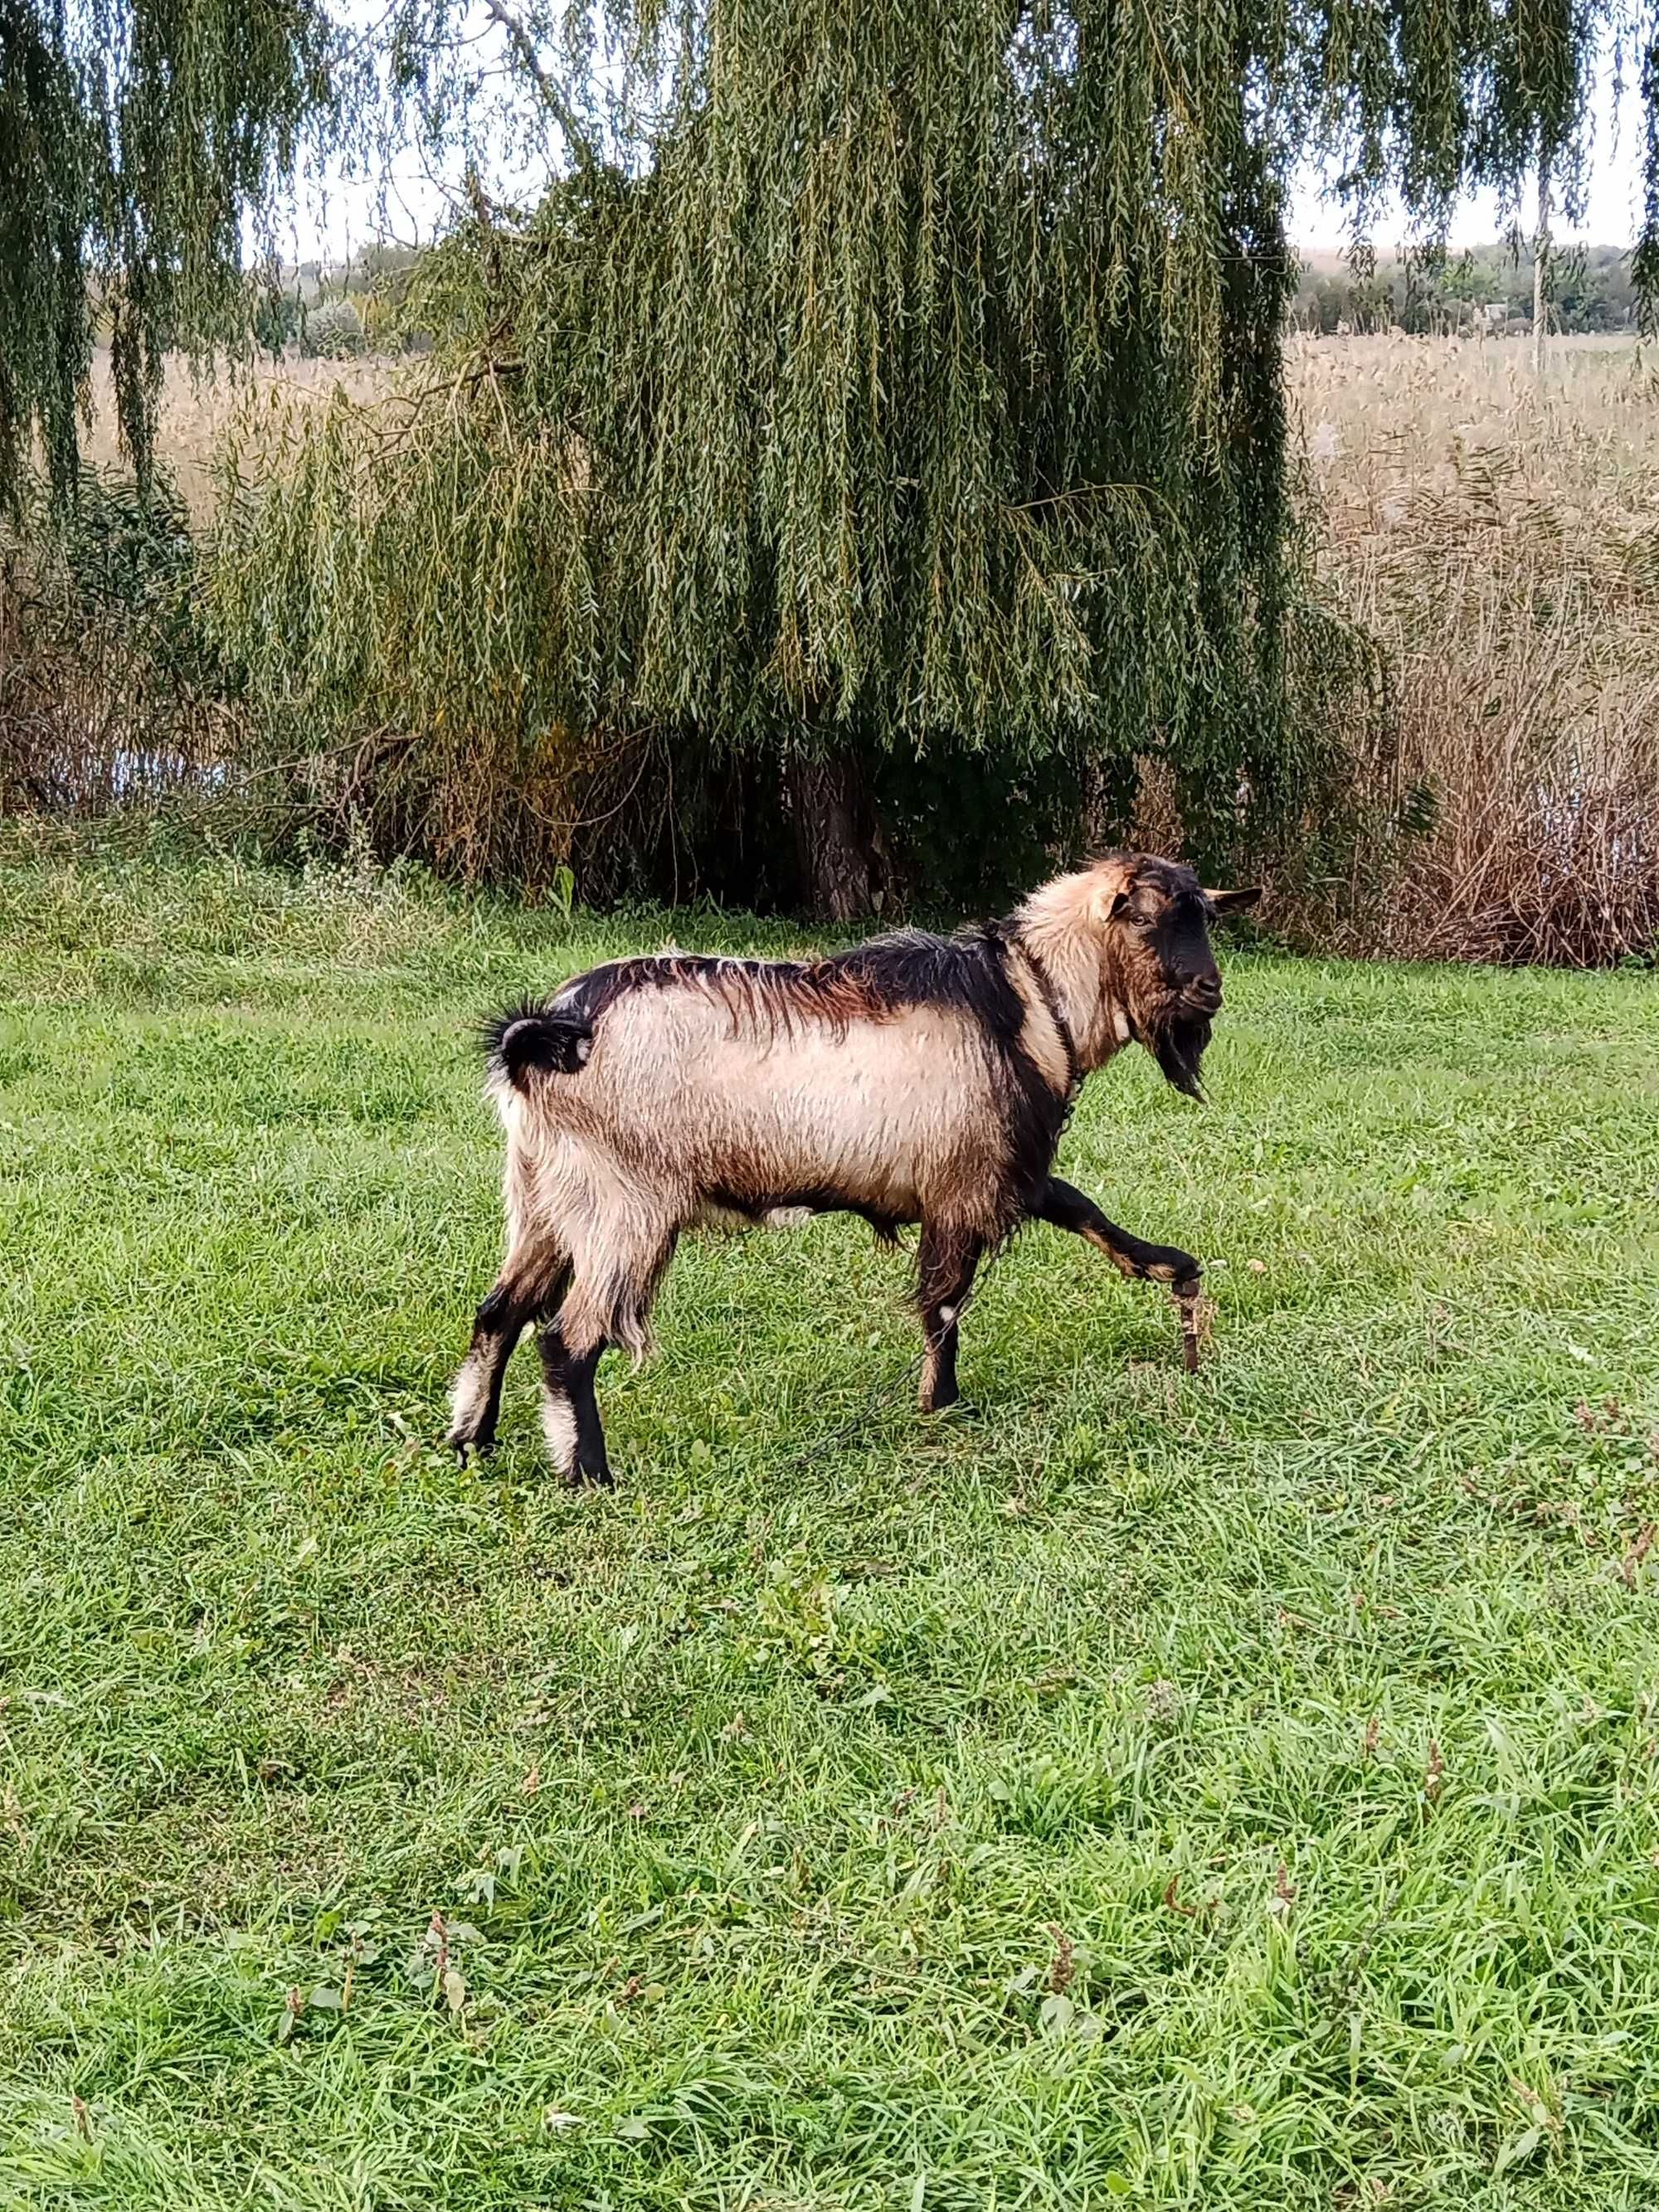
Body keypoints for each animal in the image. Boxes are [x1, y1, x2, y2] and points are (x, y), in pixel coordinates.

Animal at [449, 853, 1265, 1477]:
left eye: (1205, 916)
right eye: (1147, 918)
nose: (1212, 989)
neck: (1033, 1001)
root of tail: (549, 1031)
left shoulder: (1004, 1174)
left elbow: (1083, 1211)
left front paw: (1174, 1271)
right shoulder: (964, 1186)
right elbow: (944, 1307)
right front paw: (941, 1405)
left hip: (547, 1199)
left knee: (500, 1312)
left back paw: (471, 1441)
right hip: (627, 1205)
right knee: (568, 1339)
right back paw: (589, 1473)